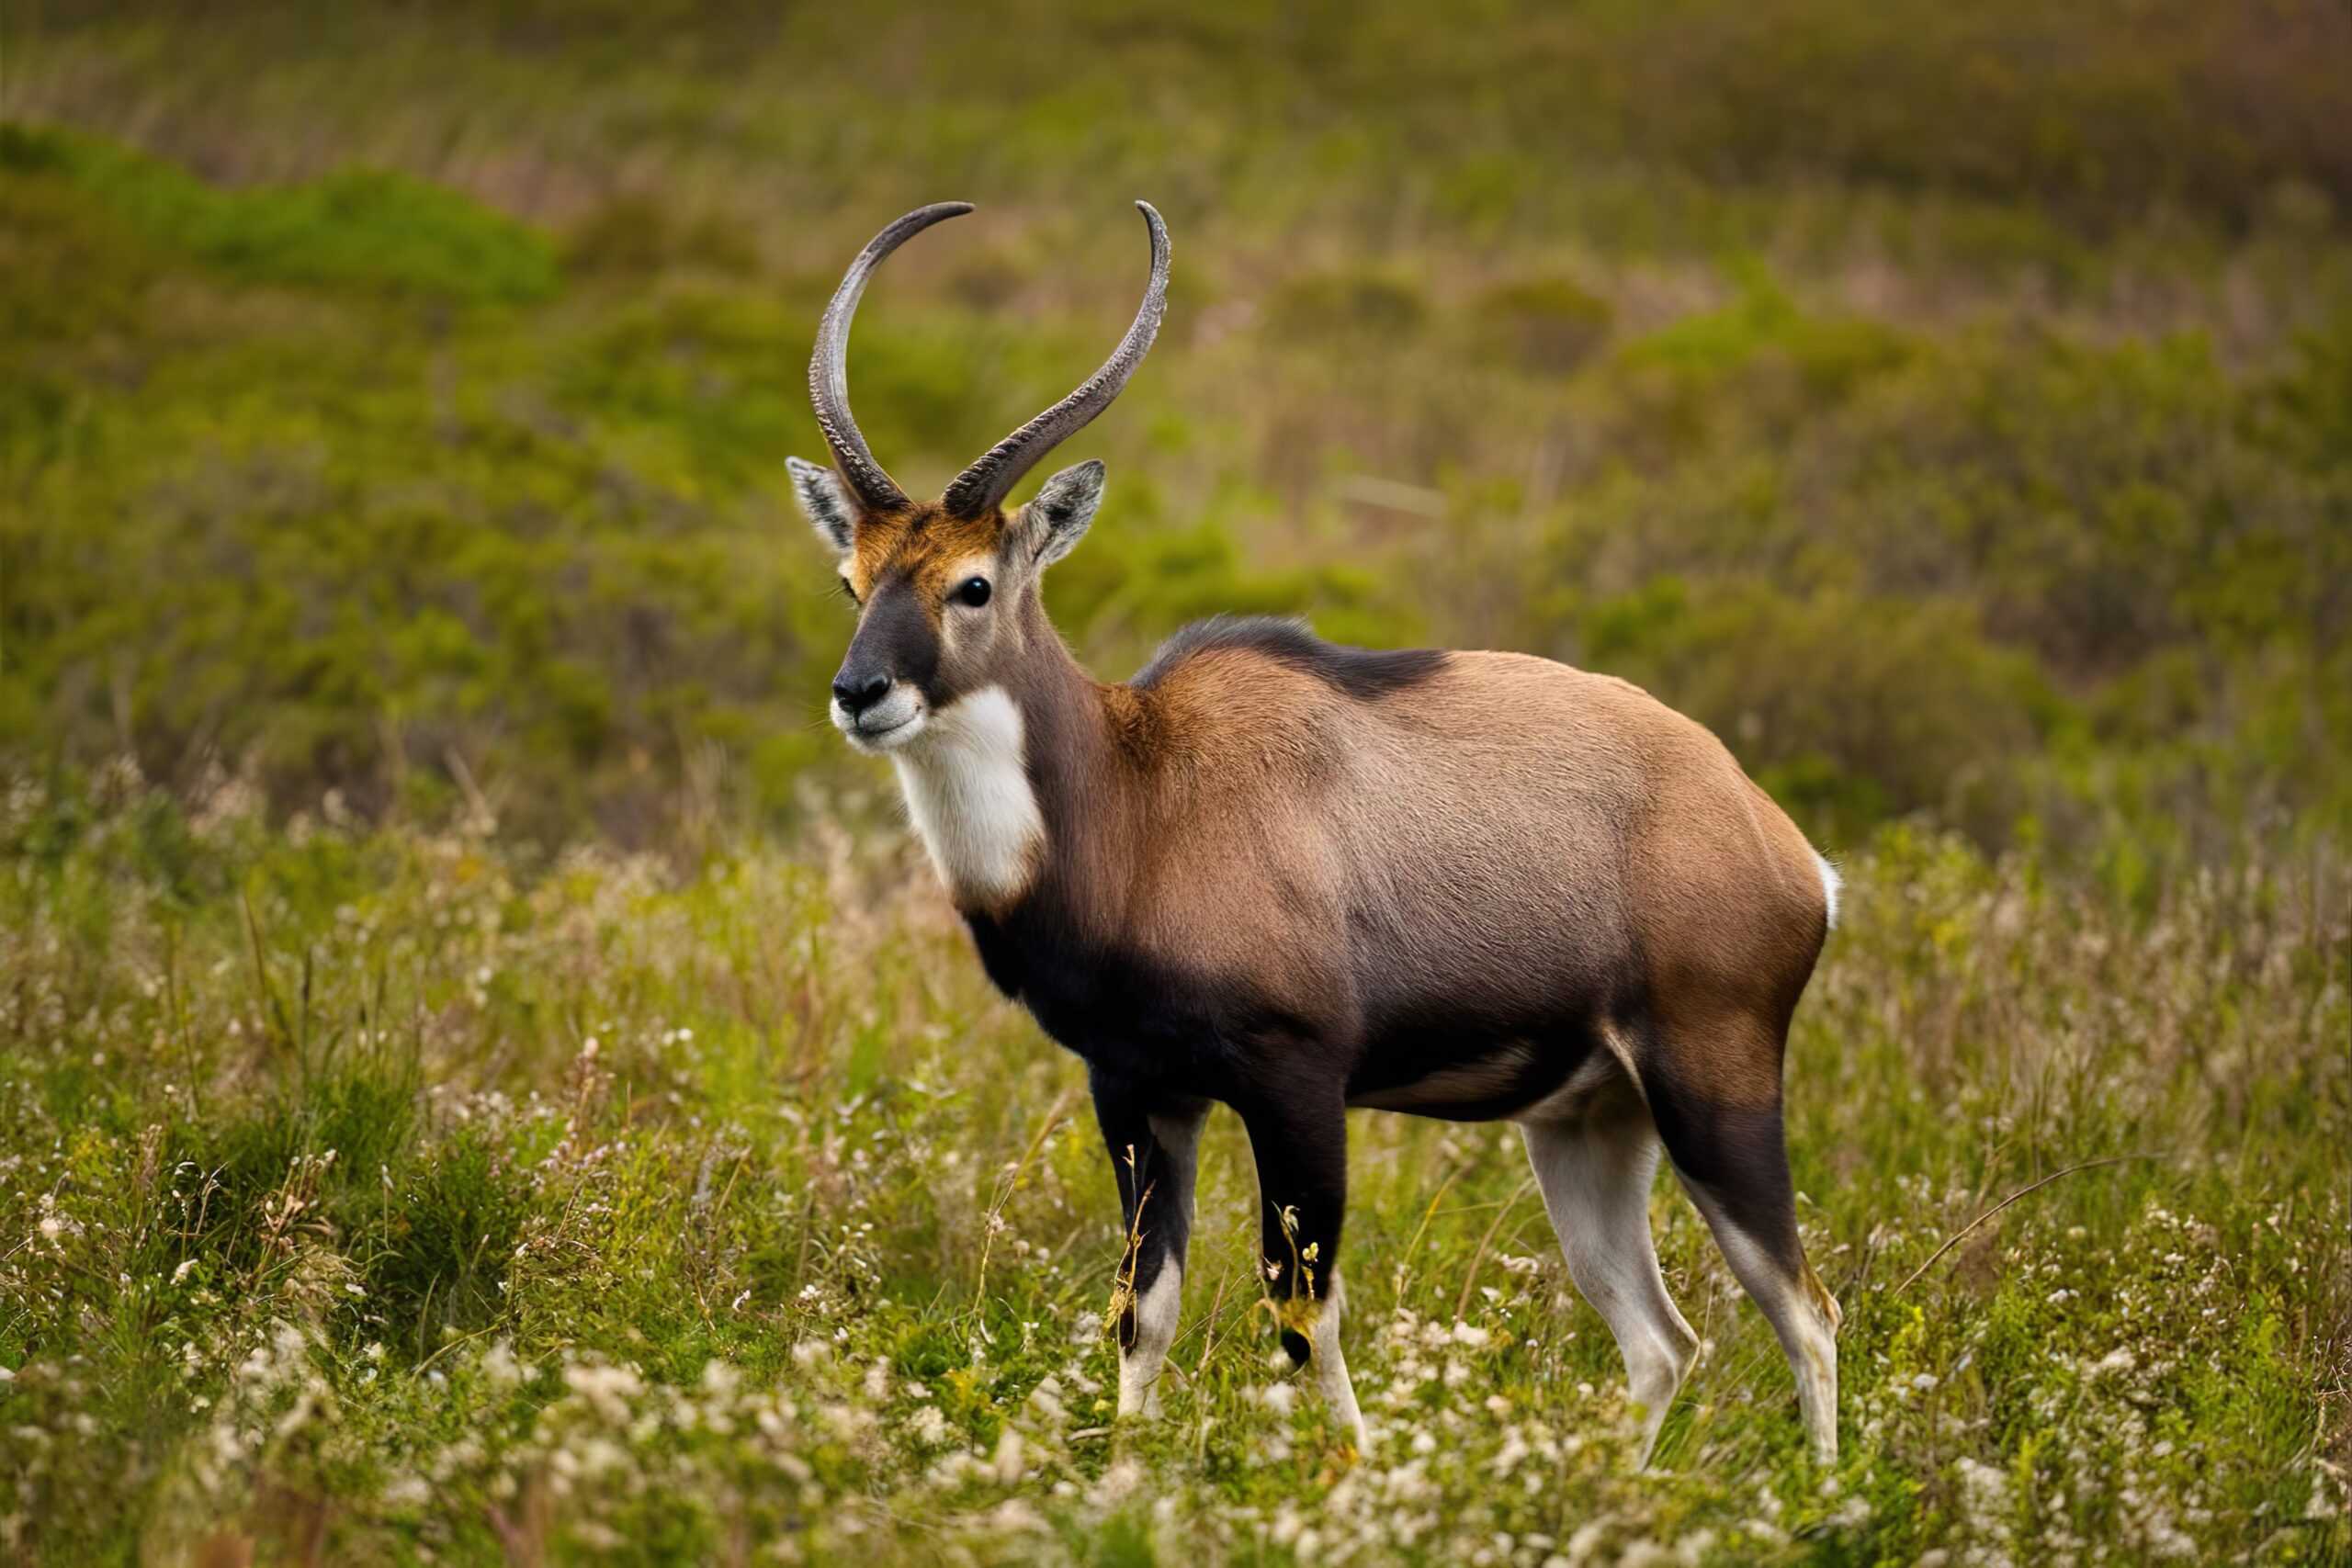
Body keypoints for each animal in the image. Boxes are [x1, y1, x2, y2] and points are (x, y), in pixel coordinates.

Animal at [799, 202, 1844, 1466]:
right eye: (852, 577)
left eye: (972, 585)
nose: (862, 693)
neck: (1140, 789)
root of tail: (1787, 852)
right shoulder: (1138, 1091)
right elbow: (1141, 1308)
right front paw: (1122, 1478)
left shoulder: (1295, 1086)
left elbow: (1300, 1309)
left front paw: (1342, 1479)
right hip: (1589, 1127)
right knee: (1662, 1339)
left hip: (1713, 1096)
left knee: (1807, 1310)